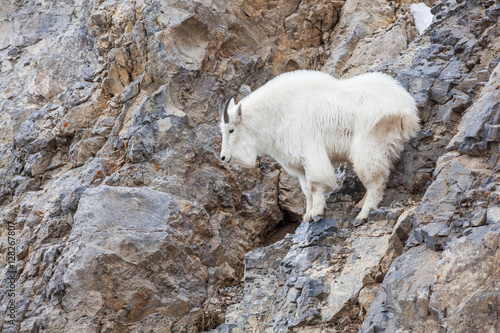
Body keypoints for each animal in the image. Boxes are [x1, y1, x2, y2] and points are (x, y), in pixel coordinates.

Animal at [219, 68, 418, 222]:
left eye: (231, 129)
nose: (224, 157)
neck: (277, 114)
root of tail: (407, 107)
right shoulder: (299, 165)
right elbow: (306, 190)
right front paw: (307, 215)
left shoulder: (309, 152)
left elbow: (315, 185)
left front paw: (316, 213)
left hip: (369, 144)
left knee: (376, 179)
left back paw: (363, 214)